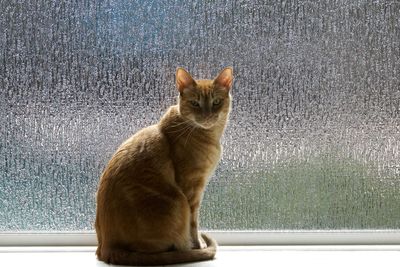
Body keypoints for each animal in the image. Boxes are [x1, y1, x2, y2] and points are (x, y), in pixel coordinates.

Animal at [95, 67, 233, 266]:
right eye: (195, 103)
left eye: (216, 102)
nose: (207, 116)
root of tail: (106, 247)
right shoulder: (192, 190)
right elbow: (193, 223)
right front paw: (197, 245)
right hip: (177, 201)